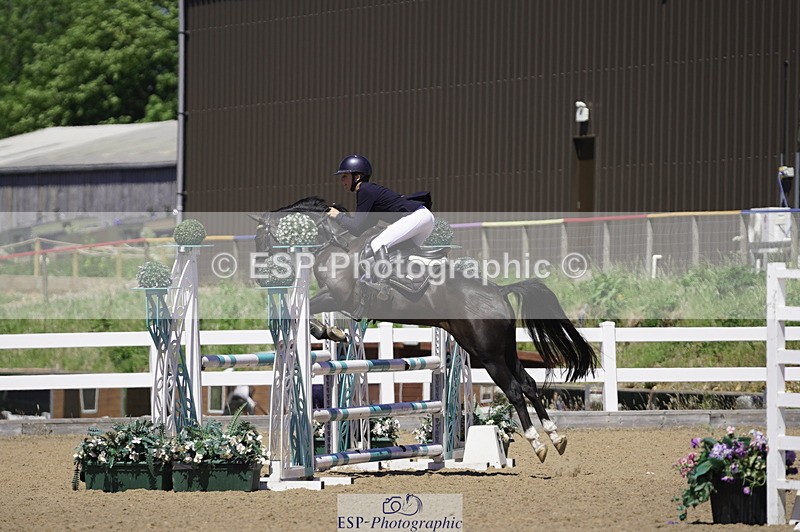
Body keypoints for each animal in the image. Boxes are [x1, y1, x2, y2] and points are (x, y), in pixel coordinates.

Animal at [252, 196, 597, 462]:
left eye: (261, 239)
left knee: (514, 389)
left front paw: (328, 332)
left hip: (487, 354)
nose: (261, 277)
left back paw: (538, 444)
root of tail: (499, 291)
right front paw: (333, 333)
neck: (334, 245)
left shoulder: (338, 296)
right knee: (528, 384)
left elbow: (308, 310)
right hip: (500, 349)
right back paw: (556, 438)